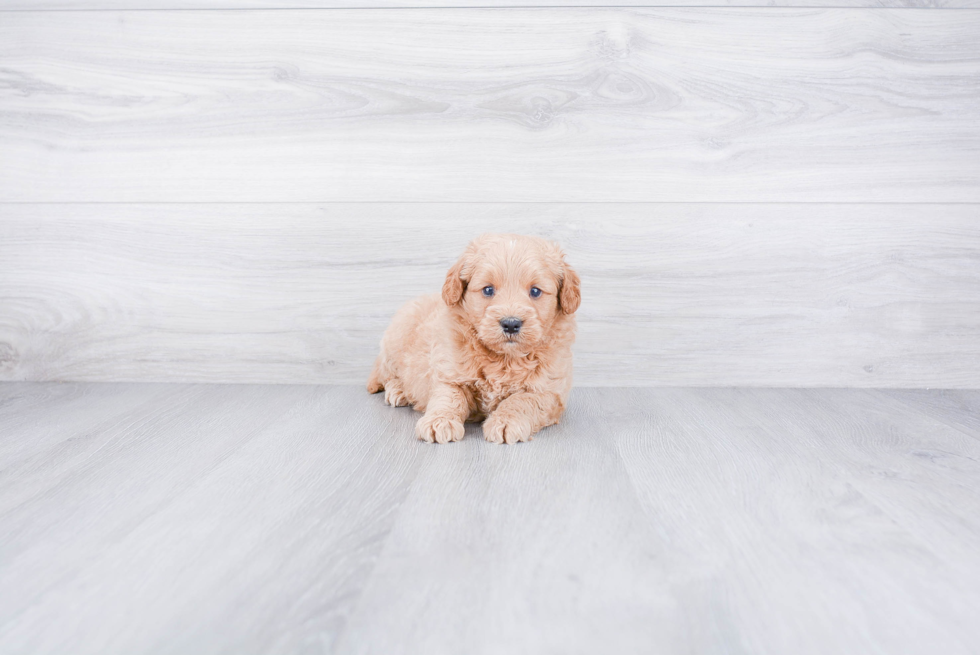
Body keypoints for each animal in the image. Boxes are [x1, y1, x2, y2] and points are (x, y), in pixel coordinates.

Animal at [368, 233, 580, 444]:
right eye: (488, 290)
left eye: (535, 291)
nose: (511, 324)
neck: (504, 359)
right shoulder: (449, 372)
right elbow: (448, 396)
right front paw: (439, 421)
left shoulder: (549, 391)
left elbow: (522, 400)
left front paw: (506, 421)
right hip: (395, 342)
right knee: (386, 374)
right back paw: (398, 390)